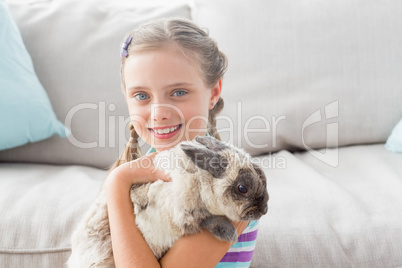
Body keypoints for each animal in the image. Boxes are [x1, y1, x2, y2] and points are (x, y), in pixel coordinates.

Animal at [67, 137, 268, 266]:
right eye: (242, 188)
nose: (264, 210)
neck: (200, 178)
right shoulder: (182, 214)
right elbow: (209, 219)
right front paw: (230, 234)